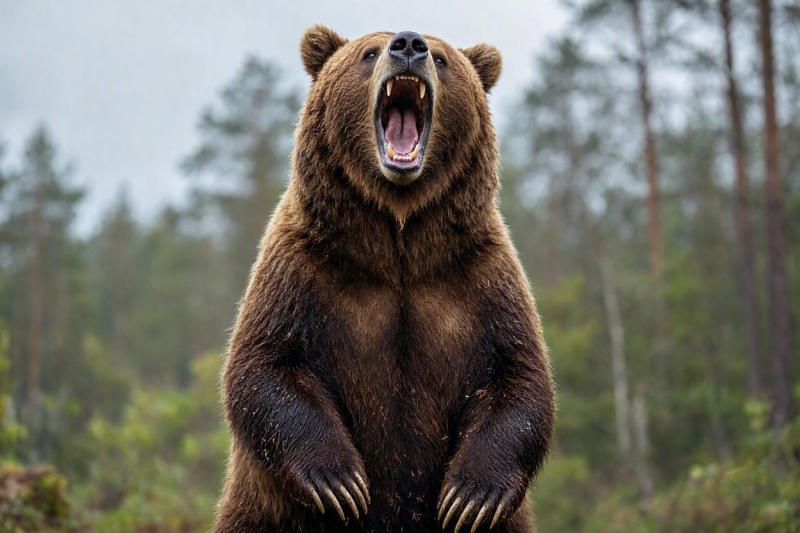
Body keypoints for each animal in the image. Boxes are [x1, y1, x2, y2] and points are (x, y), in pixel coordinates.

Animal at [213, 25, 555, 533]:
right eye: (369, 52)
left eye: (441, 57)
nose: (409, 44)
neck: (398, 242)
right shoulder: (301, 269)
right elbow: (263, 367)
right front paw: (339, 482)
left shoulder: (480, 278)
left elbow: (520, 378)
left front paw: (471, 496)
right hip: (259, 515)